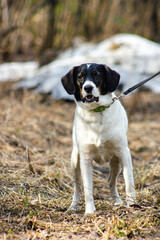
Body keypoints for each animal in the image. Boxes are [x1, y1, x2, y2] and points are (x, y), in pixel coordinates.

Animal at [61, 63, 135, 214]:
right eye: (80, 77)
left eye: (97, 75)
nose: (88, 88)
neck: (97, 112)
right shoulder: (85, 159)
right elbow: (88, 189)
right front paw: (89, 211)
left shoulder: (124, 153)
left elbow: (128, 181)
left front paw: (131, 204)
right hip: (74, 161)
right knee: (77, 188)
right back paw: (72, 207)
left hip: (116, 162)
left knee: (111, 181)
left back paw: (118, 202)